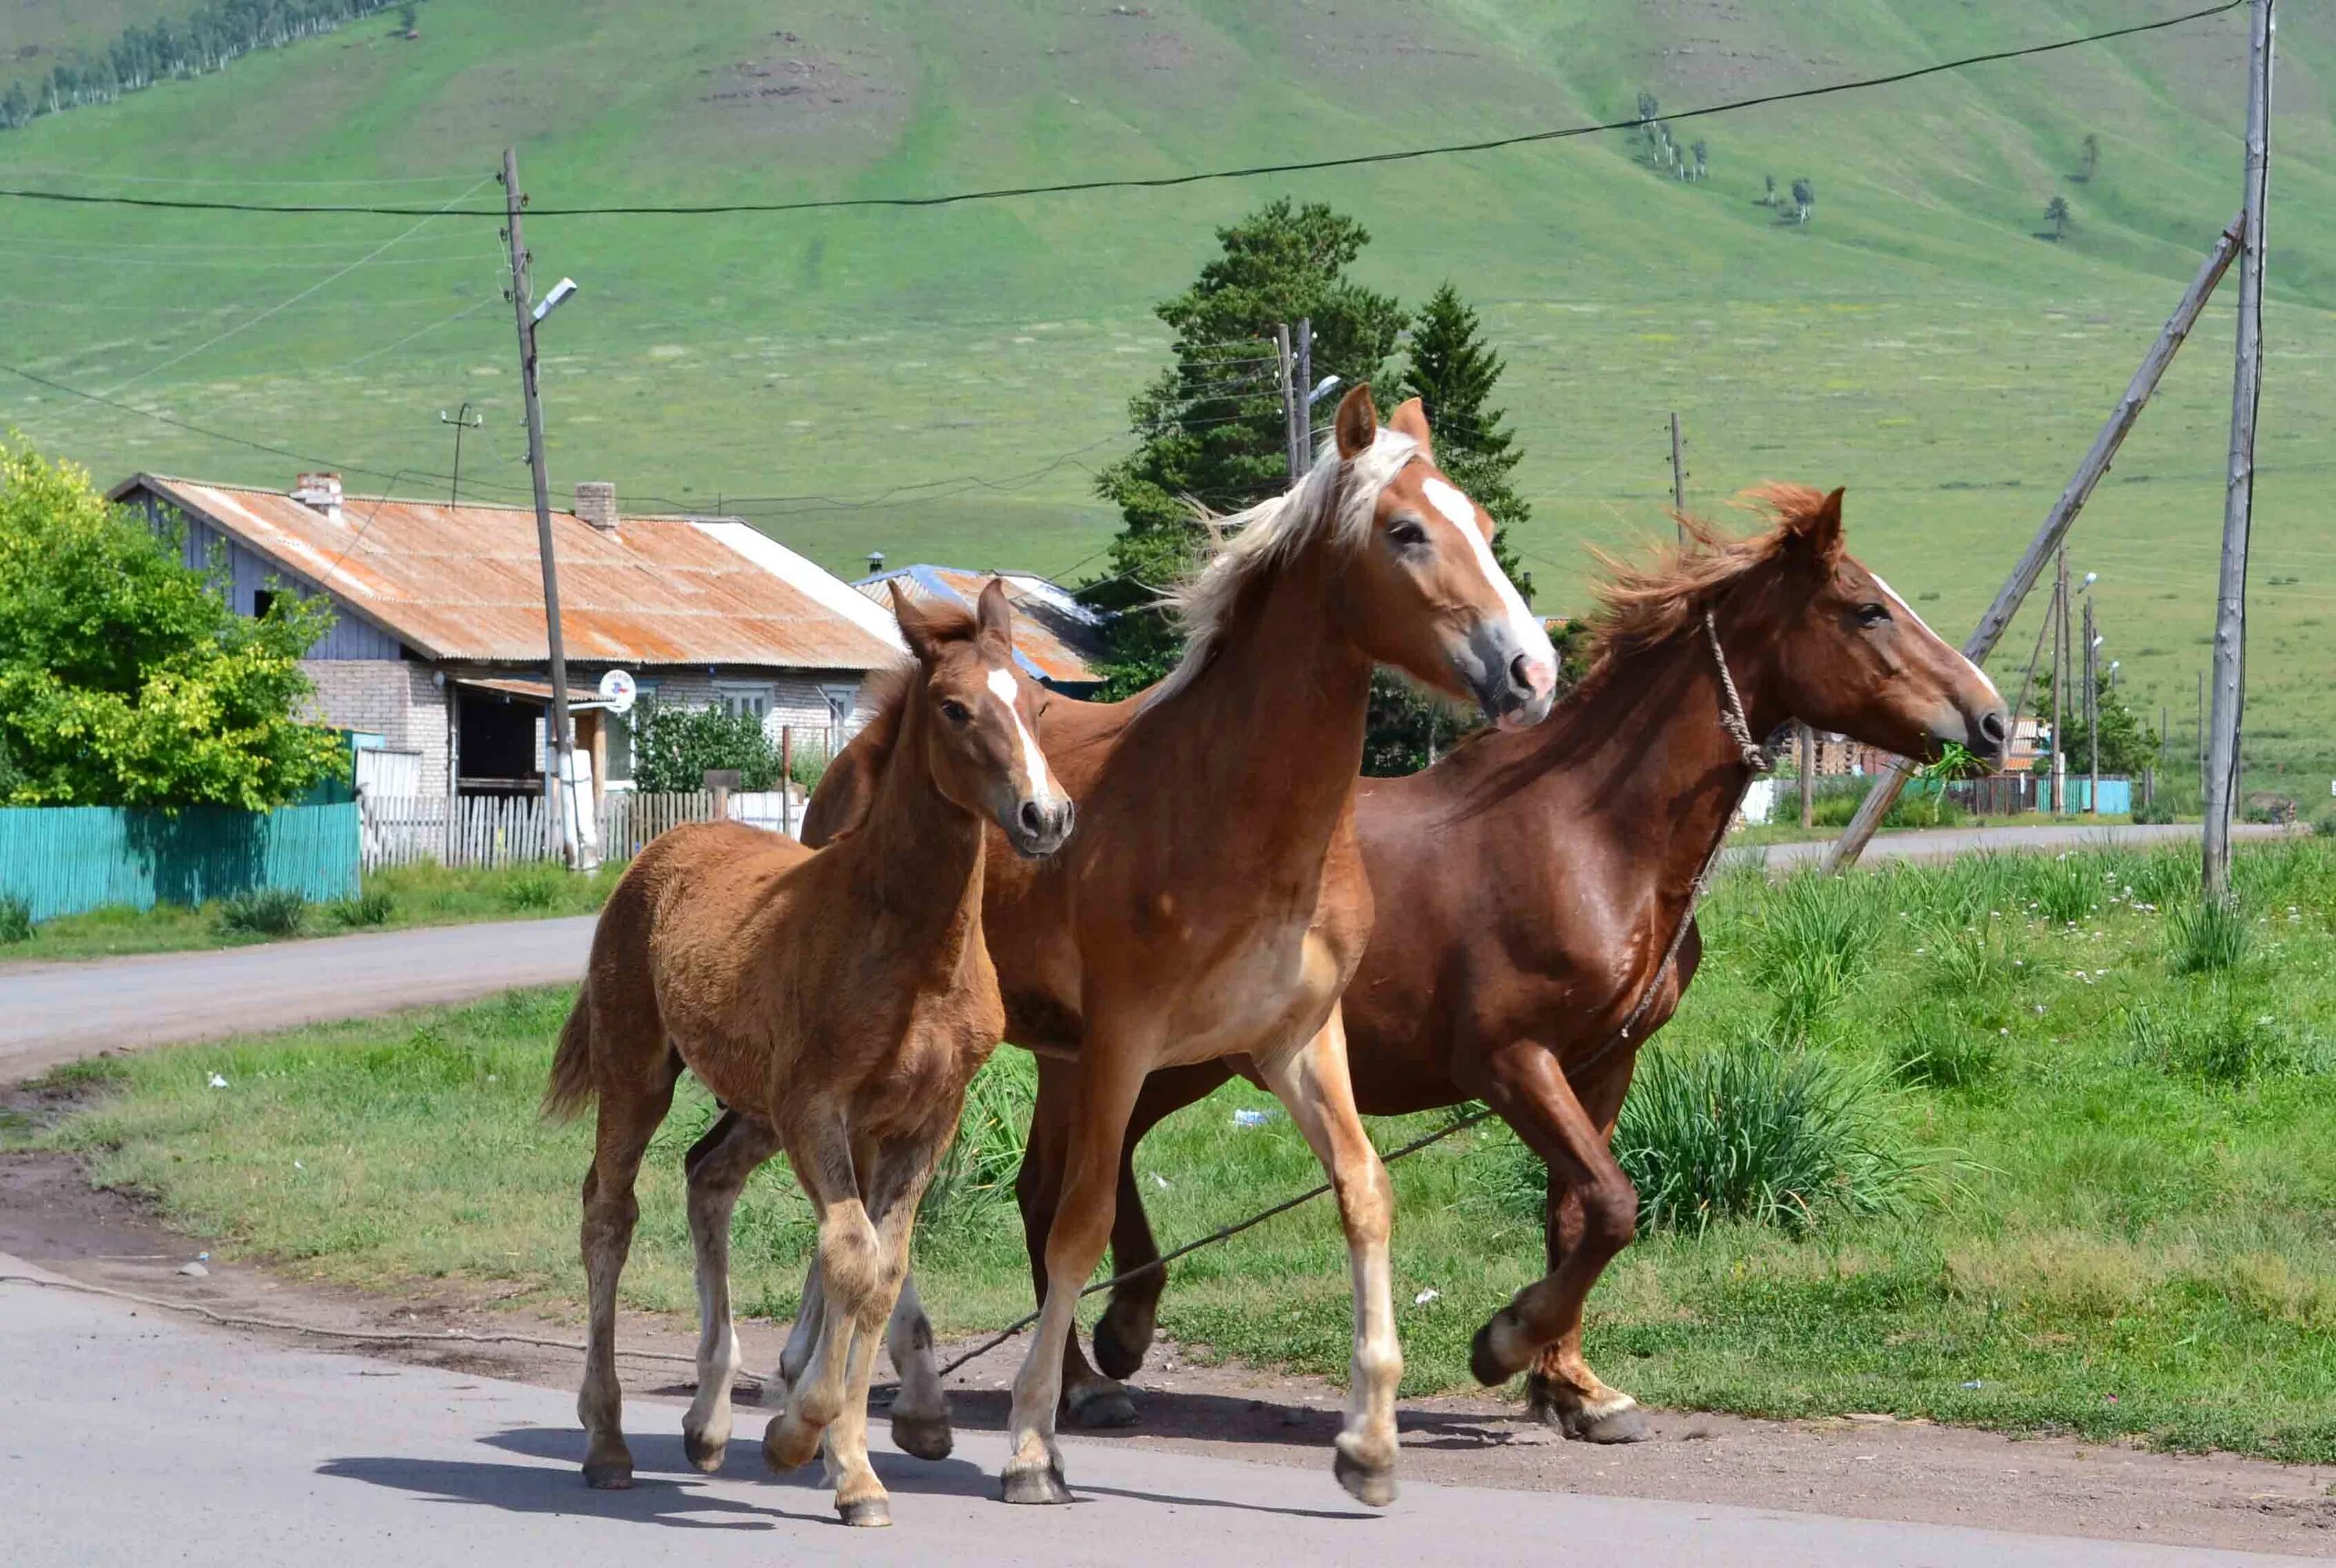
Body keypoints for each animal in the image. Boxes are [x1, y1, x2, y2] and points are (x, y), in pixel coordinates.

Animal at [535, 582, 1070, 1523]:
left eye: (1038, 704)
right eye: (954, 707)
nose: (1046, 816)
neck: (911, 946)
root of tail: (664, 848)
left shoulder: (922, 1121)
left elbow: (880, 1270)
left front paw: (854, 1469)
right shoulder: (818, 1106)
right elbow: (851, 1256)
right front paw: (799, 1437)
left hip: (756, 1104)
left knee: (708, 1176)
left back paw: (710, 1420)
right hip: (641, 1068)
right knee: (609, 1211)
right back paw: (607, 1441)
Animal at [715, 383, 1551, 1504]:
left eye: (1486, 526)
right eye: (1408, 531)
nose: (1532, 670)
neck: (1238, 813)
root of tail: (858, 759)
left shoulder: (1298, 1041)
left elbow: (1365, 1191)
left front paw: (1369, 1443)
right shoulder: (1124, 1042)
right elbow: (1081, 1222)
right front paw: (1032, 1443)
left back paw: (841, 1385)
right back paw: (884, 1396)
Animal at [1014, 483, 2018, 1439]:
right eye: (1866, 610)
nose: (1995, 722)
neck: (1586, 833)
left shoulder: (1602, 1062)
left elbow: (1576, 1214)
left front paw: (1574, 1387)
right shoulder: (1506, 1060)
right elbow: (1615, 1204)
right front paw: (1504, 1343)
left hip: (1178, 1060)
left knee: (1085, 1172)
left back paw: (1116, 1336)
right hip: (1124, 1053)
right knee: (1056, 1191)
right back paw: (1089, 1372)